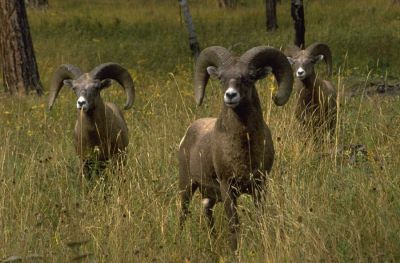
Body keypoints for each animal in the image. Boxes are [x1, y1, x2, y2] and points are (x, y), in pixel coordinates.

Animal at [178, 46, 294, 252]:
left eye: (249, 77)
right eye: (221, 78)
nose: (230, 95)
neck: (244, 149)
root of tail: (187, 134)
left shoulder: (259, 186)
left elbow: (260, 219)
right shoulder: (228, 188)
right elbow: (234, 224)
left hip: (209, 195)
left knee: (206, 210)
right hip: (187, 186)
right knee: (183, 214)